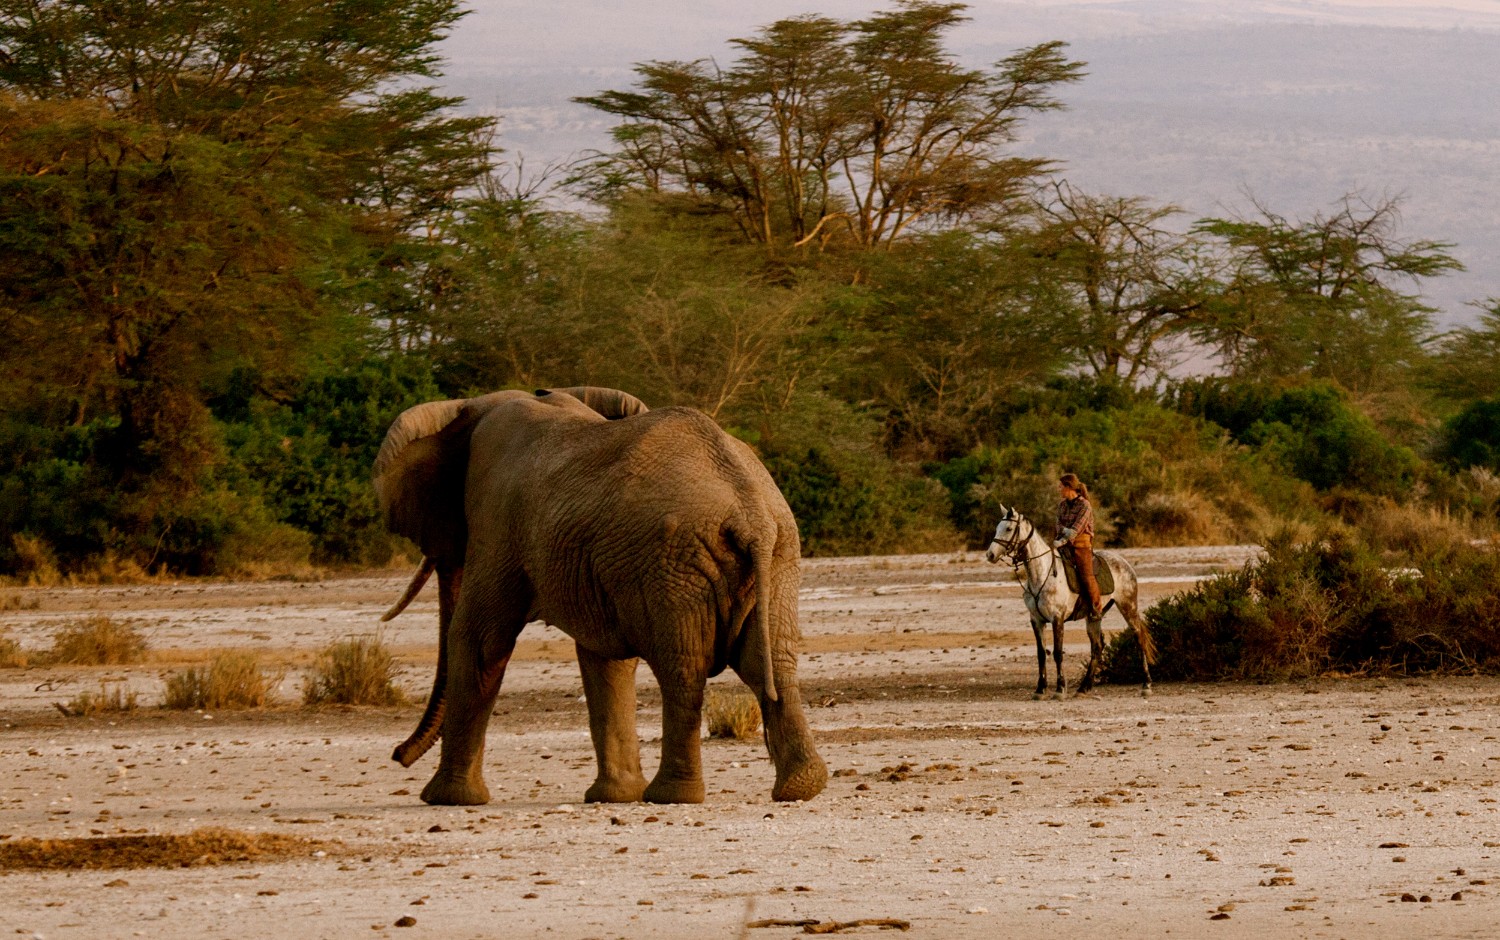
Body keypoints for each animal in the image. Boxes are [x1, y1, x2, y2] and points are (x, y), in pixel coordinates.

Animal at [370, 386, 828, 803]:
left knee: (684, 668)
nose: (396, 754)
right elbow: (606, 660)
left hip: (676, 562)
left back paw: (671, 796)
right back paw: (800, 787)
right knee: (772, 662)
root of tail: (750, 511)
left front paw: (444, 798)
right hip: (775, 553)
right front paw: (614, 797)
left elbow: (479, 639)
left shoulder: (498, 521)